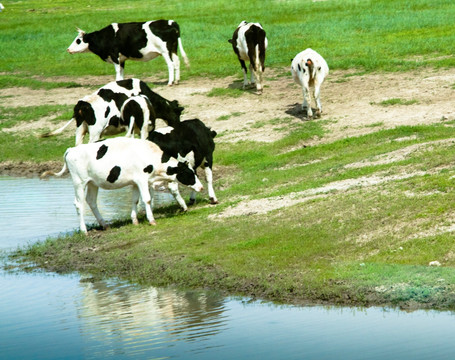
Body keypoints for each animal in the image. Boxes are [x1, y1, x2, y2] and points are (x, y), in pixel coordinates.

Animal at [41, 136, 204, 235]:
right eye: (189, 174)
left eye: (194, 172)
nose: (201, 187)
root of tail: (71, 149)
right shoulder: (142, 180)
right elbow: (147, 199)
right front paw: (151, 220)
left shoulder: (135, 182)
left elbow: (135, 200)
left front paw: (135, 221)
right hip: (79, 182)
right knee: (79, 204)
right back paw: (84, 230)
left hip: (93, 183)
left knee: (91, 201)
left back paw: (104, 224)